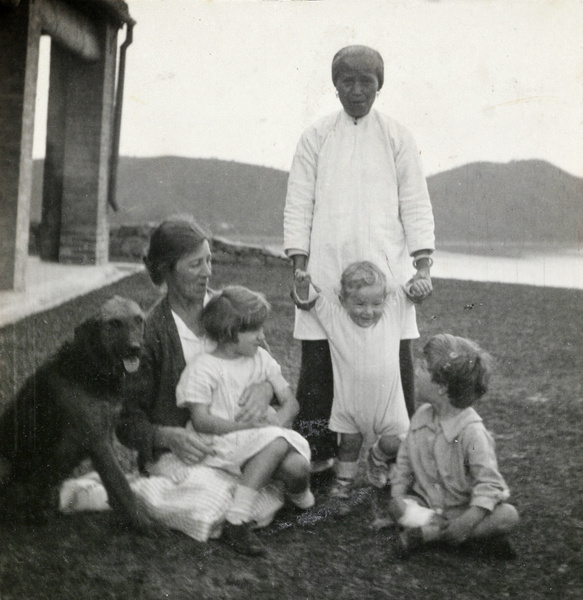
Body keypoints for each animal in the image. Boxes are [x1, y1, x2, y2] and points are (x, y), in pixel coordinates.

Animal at [0, 296, 155, 528]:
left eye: (139, 319)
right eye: (114, 323)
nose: (135, 348)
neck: (92, 367)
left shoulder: (104, 439)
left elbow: (115, 488)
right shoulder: (98, 442)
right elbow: (123, 487)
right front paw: (145, 524)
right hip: (6, 465)